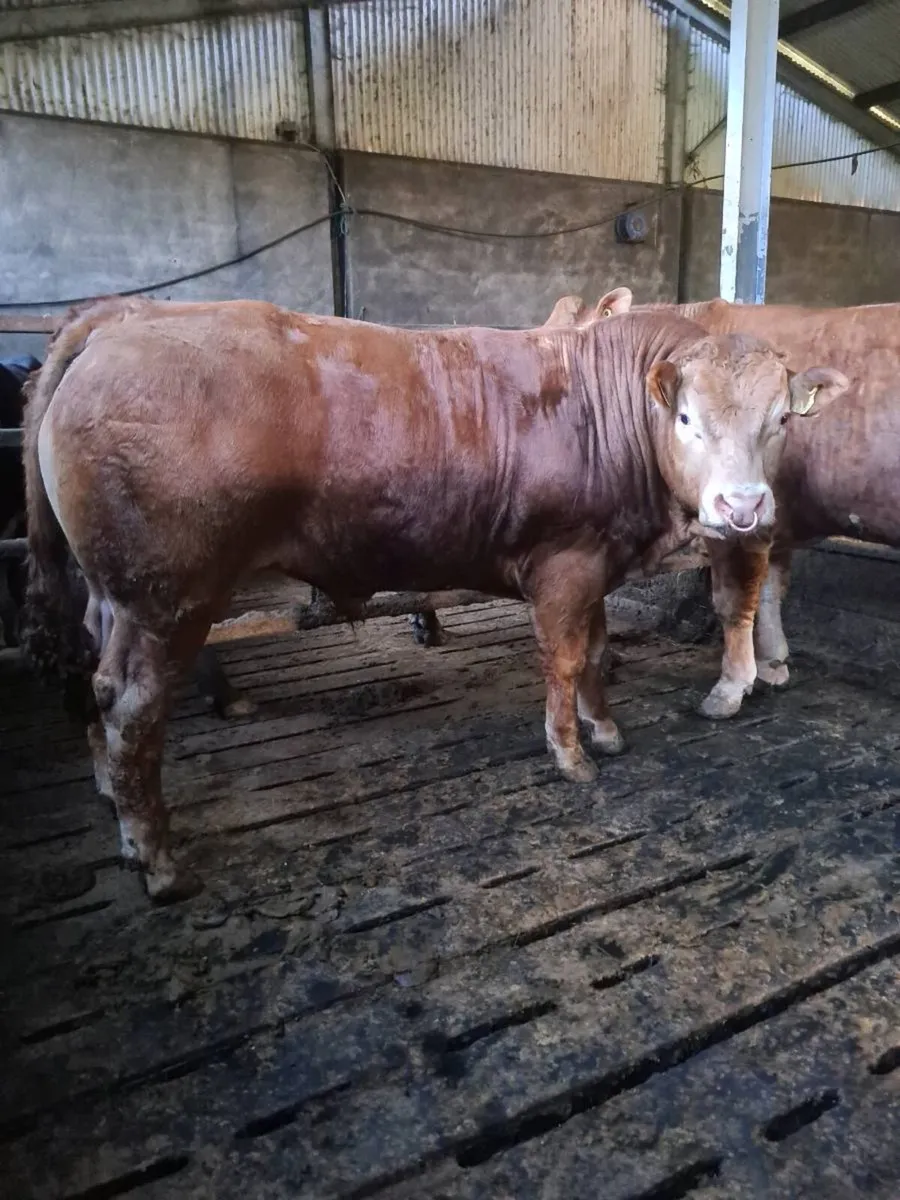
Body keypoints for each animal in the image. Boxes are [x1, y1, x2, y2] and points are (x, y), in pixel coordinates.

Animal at [22, 299, 845, 902]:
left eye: (780, 419)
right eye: (685, 418)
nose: (743, 507)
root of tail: (117, 321)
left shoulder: (595, 562)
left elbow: (596, 653)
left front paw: (604, 729)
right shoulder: (564, 564)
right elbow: (565, 657)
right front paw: (570, 753)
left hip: (116, 597)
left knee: (96, 679)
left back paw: (117, 804)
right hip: (168, 599)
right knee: (133, 706)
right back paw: (157, 857)